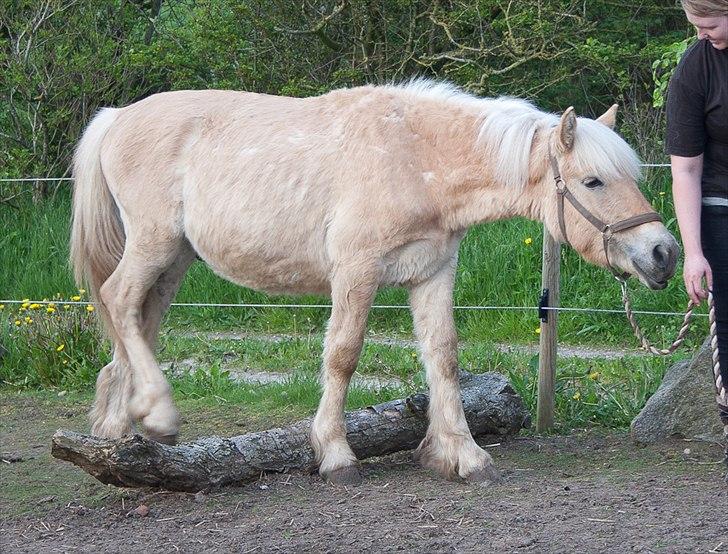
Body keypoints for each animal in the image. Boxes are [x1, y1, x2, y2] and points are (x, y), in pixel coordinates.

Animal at [71, 80, 680, 480]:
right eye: (593, 181)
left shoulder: (433, 272)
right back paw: (158, 413)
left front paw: (461, 454)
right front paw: (335, 453)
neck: (415, 156)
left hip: (174, 261)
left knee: (137, 322)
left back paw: (121, 427)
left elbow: (443, 356)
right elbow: (343, 355)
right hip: (154, 244)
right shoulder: (356, 271)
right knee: (118, 299)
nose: (664, 253)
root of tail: (116, 117)